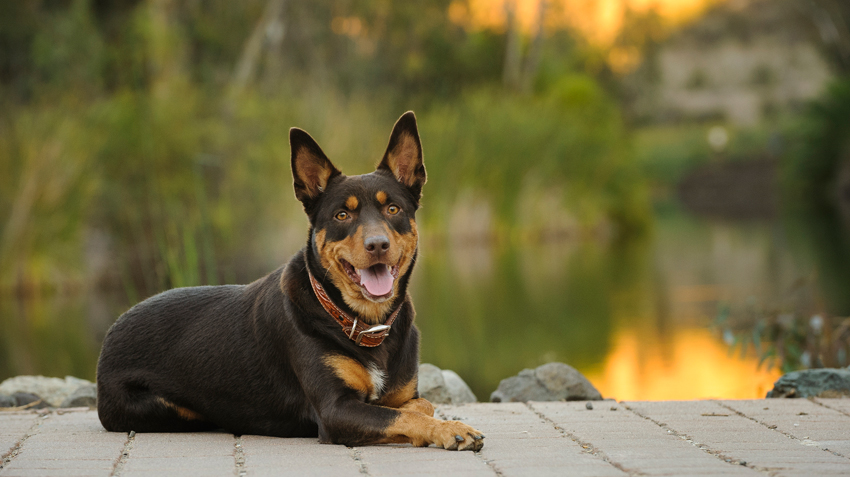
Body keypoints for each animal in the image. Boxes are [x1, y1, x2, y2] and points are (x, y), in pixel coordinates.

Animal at [95, 111, 484, 450]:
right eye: (342, 215)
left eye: (393, 209)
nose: (377, 245)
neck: (363, 323)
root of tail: (111, 331)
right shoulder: (335, 410)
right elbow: (402, 416)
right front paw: (451, 429)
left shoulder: (403, 394)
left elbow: (418, 406)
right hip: (166, 408)